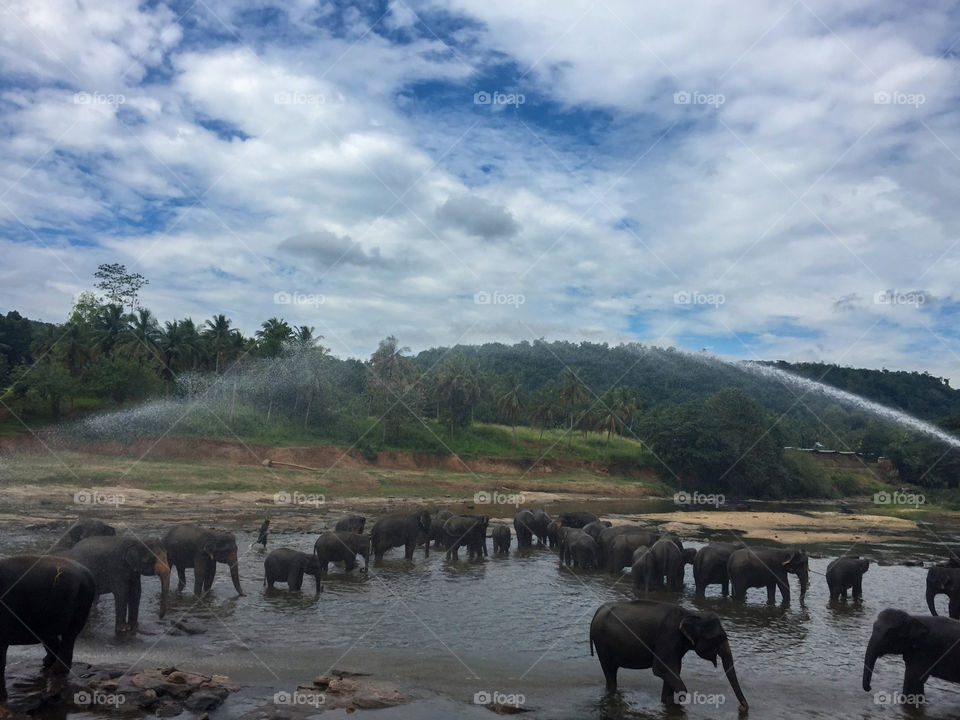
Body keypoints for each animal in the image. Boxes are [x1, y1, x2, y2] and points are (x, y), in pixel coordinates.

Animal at [0, 555, 96, 701]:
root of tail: (87, 572)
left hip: (78, 603)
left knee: (69, 635)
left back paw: (55, 670)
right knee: (53, 638)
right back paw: (47, 664)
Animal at [589, 600, 748, 712]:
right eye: (718, 638)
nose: (742, 708)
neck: (690, 613)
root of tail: (597, 612)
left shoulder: (676, 646)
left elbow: (673, 670)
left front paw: (667, 702)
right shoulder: (668, 637)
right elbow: (661, 669)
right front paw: (677, 702)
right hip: (602, 642)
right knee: (610, 671)